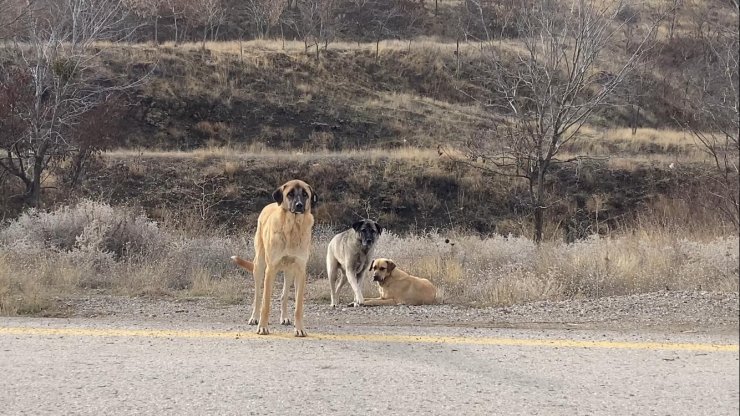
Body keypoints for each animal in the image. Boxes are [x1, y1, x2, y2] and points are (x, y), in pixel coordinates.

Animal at [228, 180, 316, 336]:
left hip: (289, 271)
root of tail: (269, 204)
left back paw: (285, 317)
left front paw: (299, 328)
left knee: (284, 295)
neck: (292, 228)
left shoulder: (300, 271)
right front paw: (263, 327)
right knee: (258, 297)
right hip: (259, 266)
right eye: (290, 194)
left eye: (305, 194)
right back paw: (254, 318)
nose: (299, 205)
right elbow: (266, 304)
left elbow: (298, 306)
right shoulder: (270, 270)